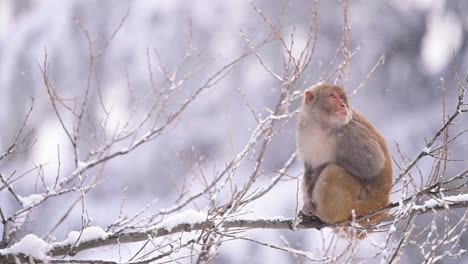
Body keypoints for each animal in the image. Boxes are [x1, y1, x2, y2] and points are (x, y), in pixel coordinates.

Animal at [298, 83, 394, 230]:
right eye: (332, 96)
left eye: (341, 97)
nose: (343, 105)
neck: (322, 127)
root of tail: (383, 202)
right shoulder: (303, 131)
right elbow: (308, 167)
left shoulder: (349, 130)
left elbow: (373, 165)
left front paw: (317, 175)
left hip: (363, 204)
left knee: (332, 171)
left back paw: (322, 215)